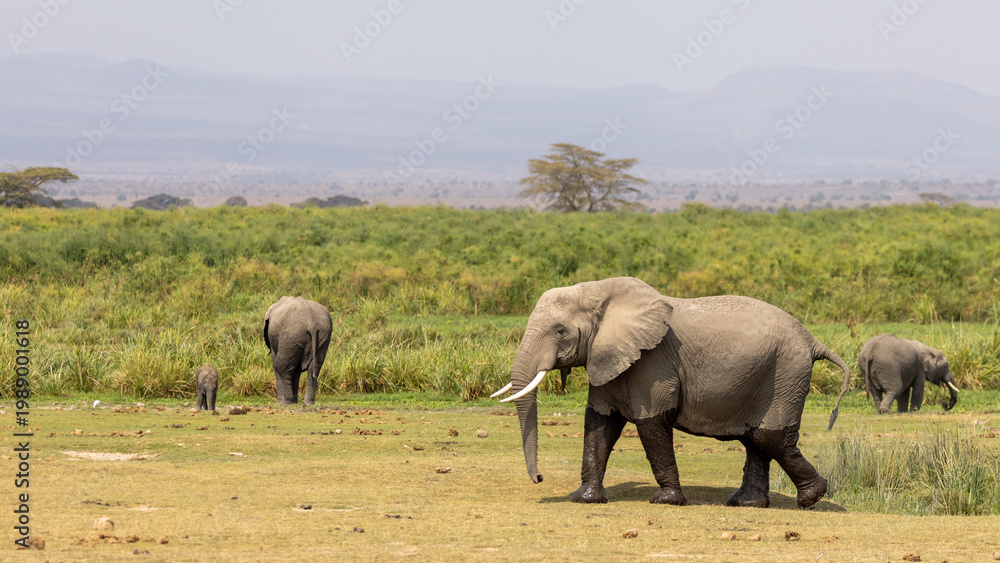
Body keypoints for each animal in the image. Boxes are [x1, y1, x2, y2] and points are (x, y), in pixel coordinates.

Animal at [492, 277, 852, 509]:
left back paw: (812, 497)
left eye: (560, 331)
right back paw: (746, 504)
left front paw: (665, 501)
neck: (600, 292)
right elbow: (599, 425)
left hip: (786, 372)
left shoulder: (654, 363)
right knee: (756, 439)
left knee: (769, 437)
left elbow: (651, 423)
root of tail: (812, 339)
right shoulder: (607, 356)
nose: (539, 477)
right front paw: (584, 499)